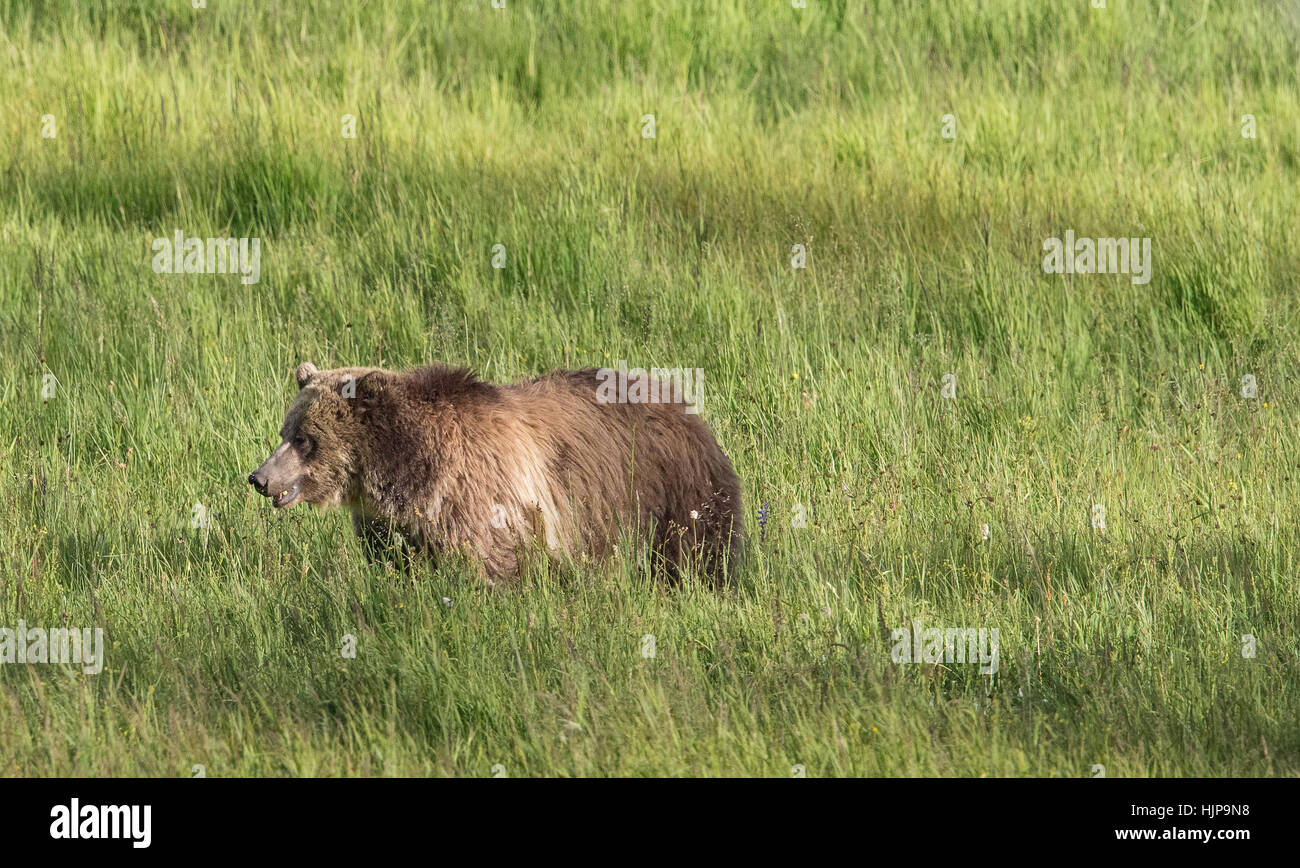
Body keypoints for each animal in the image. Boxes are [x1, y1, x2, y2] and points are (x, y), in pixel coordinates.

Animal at [248, 358, 748, 582]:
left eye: (304, 438)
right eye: (284, 430)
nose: (259, 478)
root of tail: (687, 408)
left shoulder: (480, 503)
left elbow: (492, 569)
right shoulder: (391, 527)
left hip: (669, 490)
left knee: (695, 552)